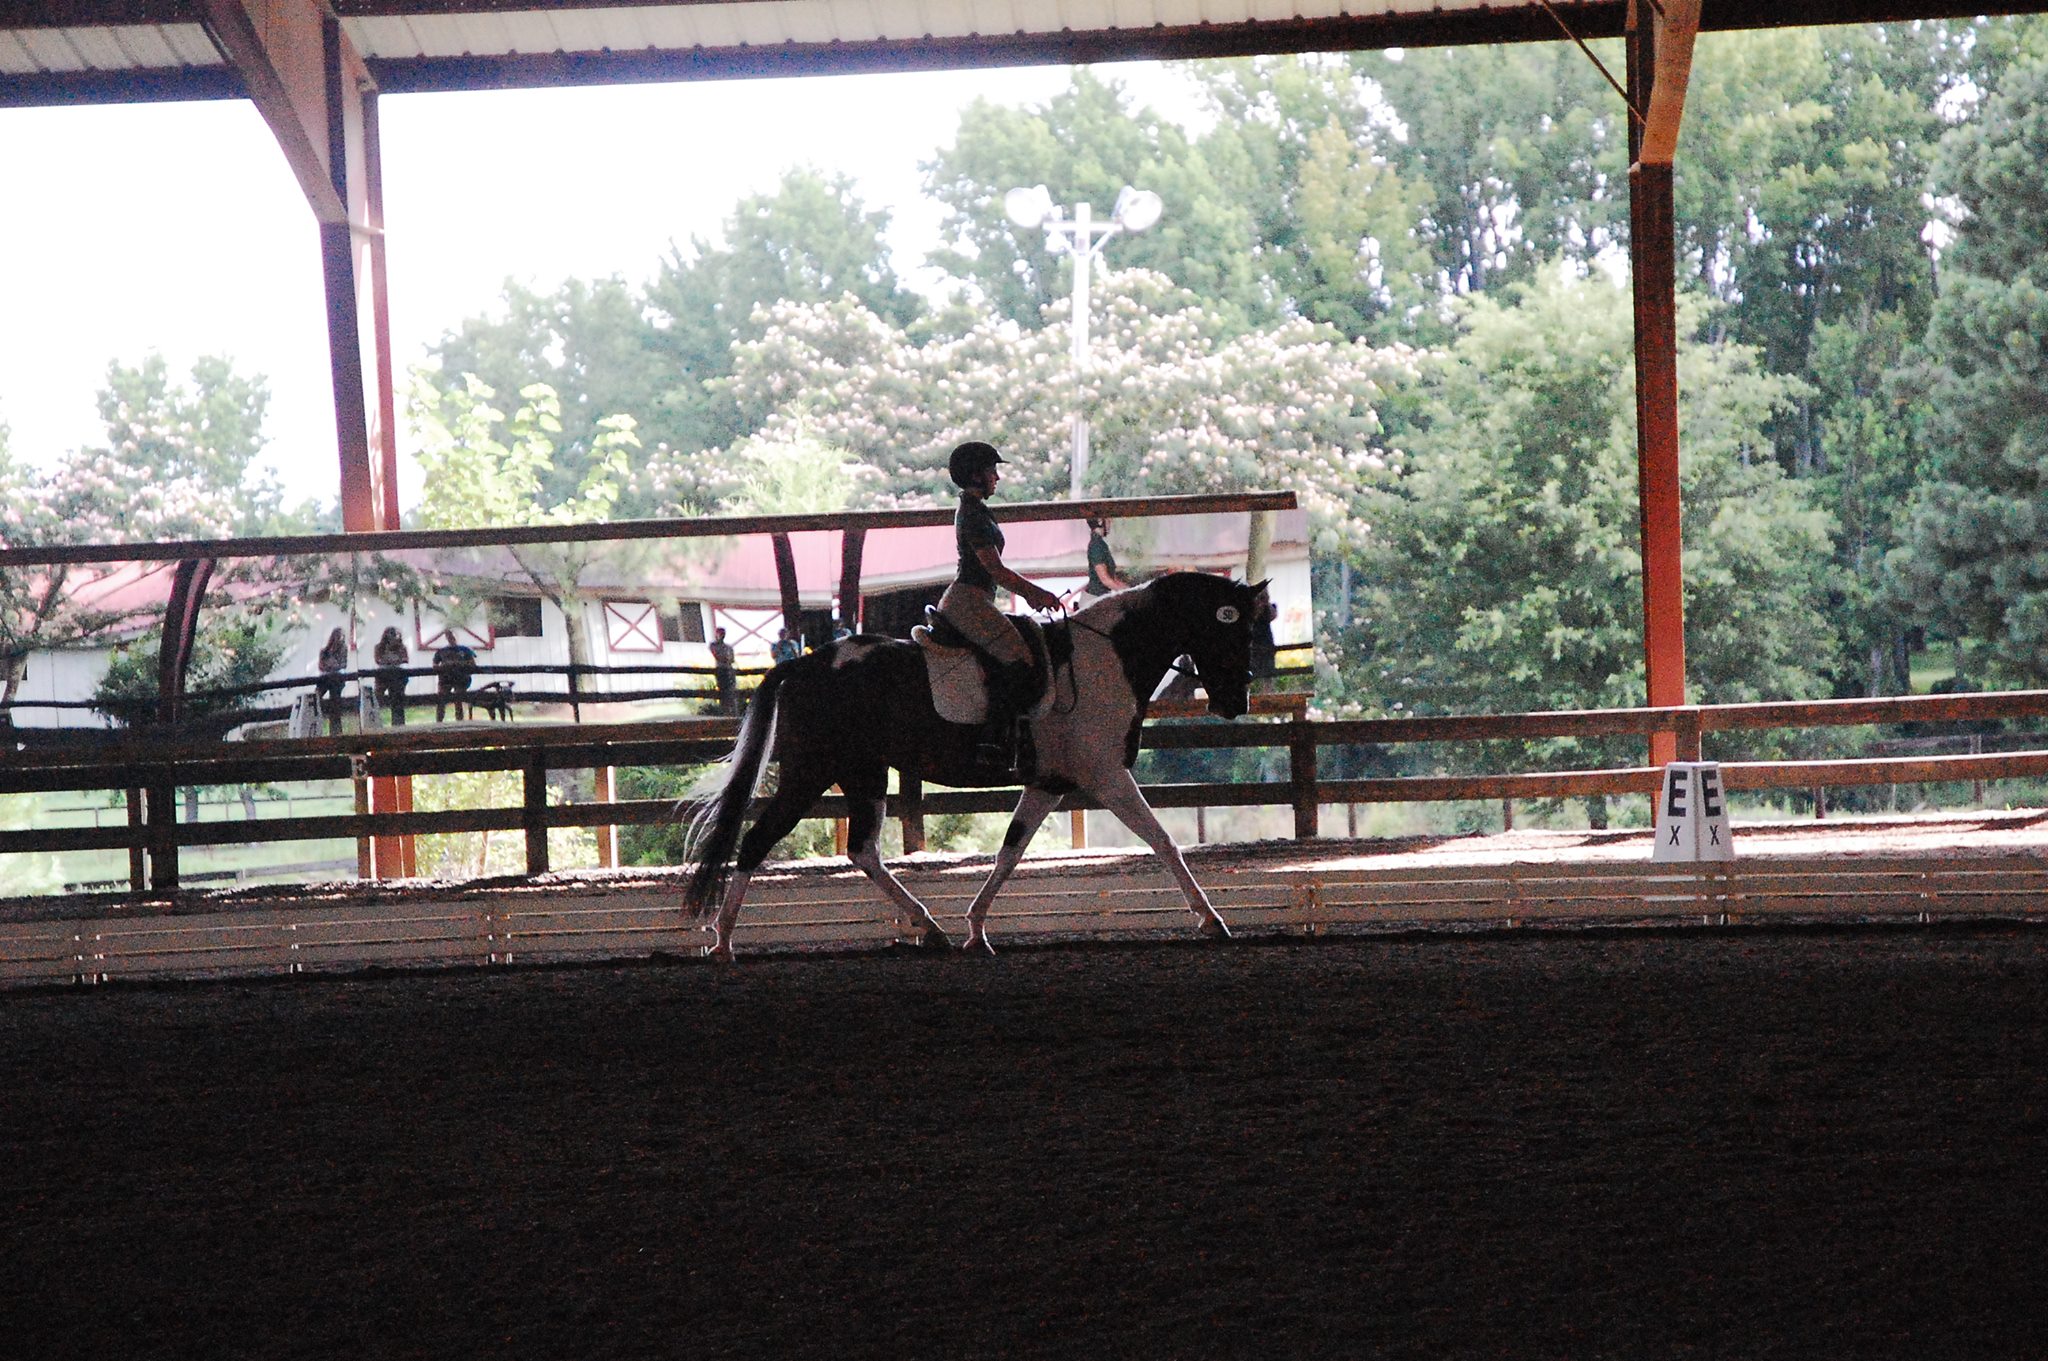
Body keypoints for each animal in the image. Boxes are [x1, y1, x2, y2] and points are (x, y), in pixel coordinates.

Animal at [680, 571, 1275, 958]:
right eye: (1233, 628)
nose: (1237, 702)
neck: (1107, 658)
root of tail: (806, 664)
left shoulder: (1050, 784)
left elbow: (1010, 851)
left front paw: (976, 928)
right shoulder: (1105, 776)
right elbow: (1163, 841)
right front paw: (1212, 920)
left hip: (864, 773)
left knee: (863, 850)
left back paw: (929, 927)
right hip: (811, 772)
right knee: (757, 843)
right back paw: (724, 943)